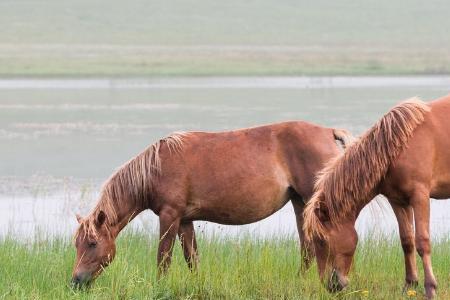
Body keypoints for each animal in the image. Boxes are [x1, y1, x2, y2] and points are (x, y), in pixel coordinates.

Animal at [71, 120, 352, 286]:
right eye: (77, 244)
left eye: (92, 243)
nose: (76, 281)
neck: (155, 168)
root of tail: (328, 132)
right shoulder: (185, 220)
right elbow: (191, 259)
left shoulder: (169, 216)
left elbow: (164, 257)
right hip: (299, 203)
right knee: (307, 248)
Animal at [302, 95, 450, 298]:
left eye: (321, 241)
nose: (330, 285)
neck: (398, 146)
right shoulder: (398, 201)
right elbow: (407, 241)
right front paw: (410, 285)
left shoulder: (420, 197)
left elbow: (422, 242)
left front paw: (430, 288)